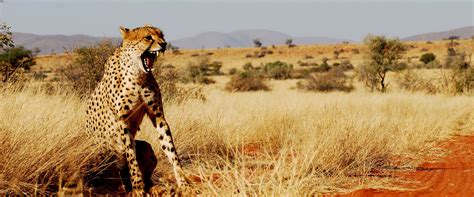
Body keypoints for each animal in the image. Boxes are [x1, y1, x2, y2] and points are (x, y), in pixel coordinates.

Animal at [85, 24, 189, 194]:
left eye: (162, 35)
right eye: (148, 37)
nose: (164, 44)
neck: (137, 74)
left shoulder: (158, 116)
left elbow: (171, 149)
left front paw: (184, 183)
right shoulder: (122, 121)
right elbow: (131, 156)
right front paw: (138, 188)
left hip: (146, 147)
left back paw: (154, 188)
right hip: (100, 151)